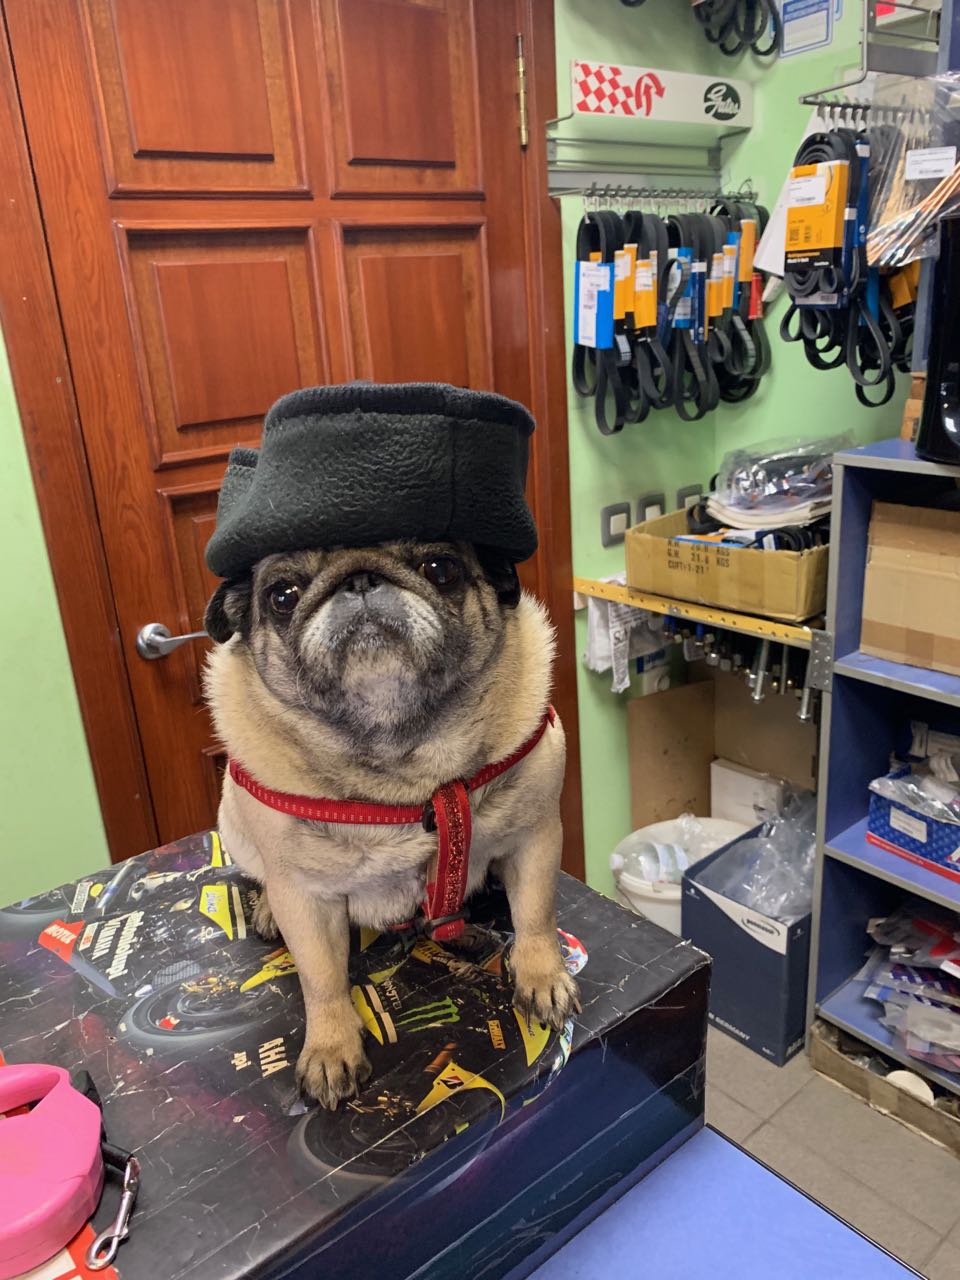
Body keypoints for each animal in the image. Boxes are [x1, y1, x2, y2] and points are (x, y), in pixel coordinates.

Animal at [204, 539, 578, 1108]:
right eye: (283, 596)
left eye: (441, 568)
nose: (358, 577)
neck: (401, 758)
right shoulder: (305, 899)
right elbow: (321, 979)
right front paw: (331, 1047)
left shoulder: (533, 837)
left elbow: (536, 915)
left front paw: (543, 977)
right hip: (234, 821)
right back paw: (267, 908)